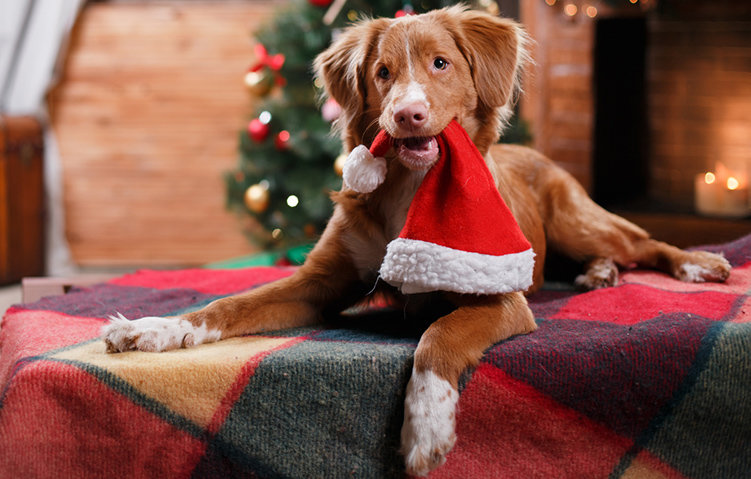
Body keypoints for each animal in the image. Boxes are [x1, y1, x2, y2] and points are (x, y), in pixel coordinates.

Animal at [103, 6, 732, 476]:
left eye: (441, 64)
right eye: (382, 72)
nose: (407, 115)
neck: (410, 190)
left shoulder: (500, 297)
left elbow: (436, 338)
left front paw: (427, 426)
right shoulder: (318, 284)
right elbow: (227, 305)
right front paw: (156, 329)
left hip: (578, 220)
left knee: (643, 244)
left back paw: (695, 263)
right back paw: (598, 273)